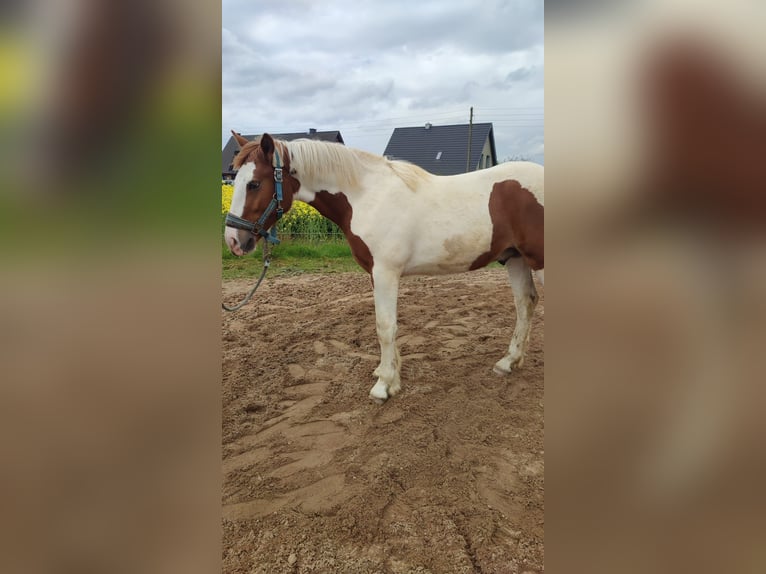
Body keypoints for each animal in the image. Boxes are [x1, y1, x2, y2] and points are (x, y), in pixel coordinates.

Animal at [224, 132, 544, 402]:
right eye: (234, 181)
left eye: (254, 183)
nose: (234, 240)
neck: (366, 196)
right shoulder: (375, 275)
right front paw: (385, 373)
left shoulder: (386, 273)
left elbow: (385, 326)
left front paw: (384, 386)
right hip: (515, 259)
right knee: (525, 304)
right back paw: (508, 362)